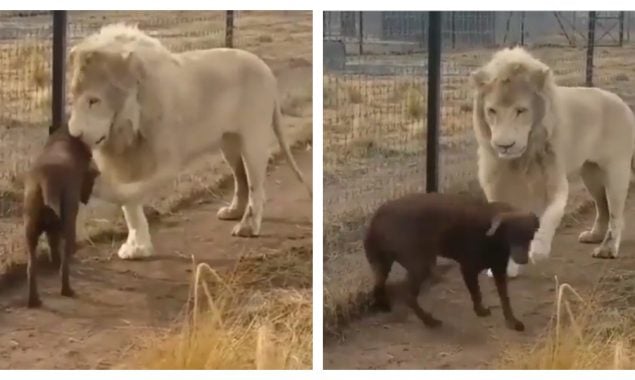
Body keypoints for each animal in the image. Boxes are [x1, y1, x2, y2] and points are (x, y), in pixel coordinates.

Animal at [22, 125, 98, 308]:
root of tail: (45, 179)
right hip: (68, 221)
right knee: (65, 258)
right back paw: (67, 290)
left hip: (30, 225)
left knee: (31, 265)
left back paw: (34, 300)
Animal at [66, 23, 310, 260]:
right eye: (72, 99)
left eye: (94, 101)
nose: (74, 135)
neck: (128, 124)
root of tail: (266, 69)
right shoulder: (126, 159)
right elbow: (131, 208)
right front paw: (137, 247)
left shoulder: (166, 161)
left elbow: (130, 192)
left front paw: (97, 186)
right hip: (229, 143)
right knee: (240, 177)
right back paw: (233, 212)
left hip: (253, 138)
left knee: (255, 185)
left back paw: (248, 226)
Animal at [366, 191, 540, 332]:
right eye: (512, 235)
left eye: (530, 236)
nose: (523, 259)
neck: (493, 235)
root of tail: (376, 218)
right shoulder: (468, 269)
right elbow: (477, 293)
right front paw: (480, 311)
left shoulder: (499, 270)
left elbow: (505, 299)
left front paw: (512, 321)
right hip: (420, 265)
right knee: (409, 297)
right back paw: (429, 321)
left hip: (386, 265)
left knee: (380, 288)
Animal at [470, 48, 635, 280]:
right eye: (491, 110)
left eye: (521, 110)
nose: (504, 145)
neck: (521, 158)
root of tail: (621, 102)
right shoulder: (497, 186)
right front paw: (505, 267)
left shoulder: (554, 183)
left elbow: (549, 217)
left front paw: (538, 250)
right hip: (591, 174)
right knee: (602, 206)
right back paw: (594, 235)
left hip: (615, 170)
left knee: (615, 213)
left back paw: (607, 248)